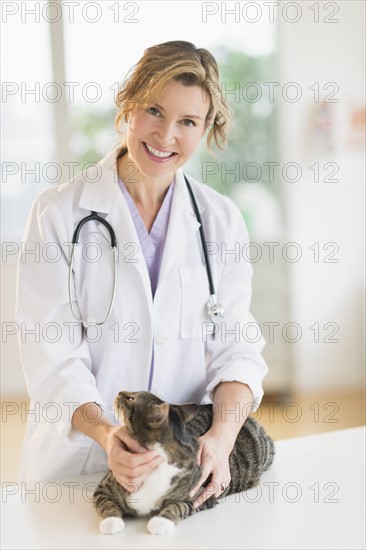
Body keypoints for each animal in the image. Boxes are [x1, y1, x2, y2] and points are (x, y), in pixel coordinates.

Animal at [94, 390, 274, 536]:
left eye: (131, 399)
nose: (119, 392)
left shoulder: (201, 494)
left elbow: (178, 506)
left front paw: (161, 522)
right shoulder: (105, 486)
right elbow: (106, 504)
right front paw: (111, 522)